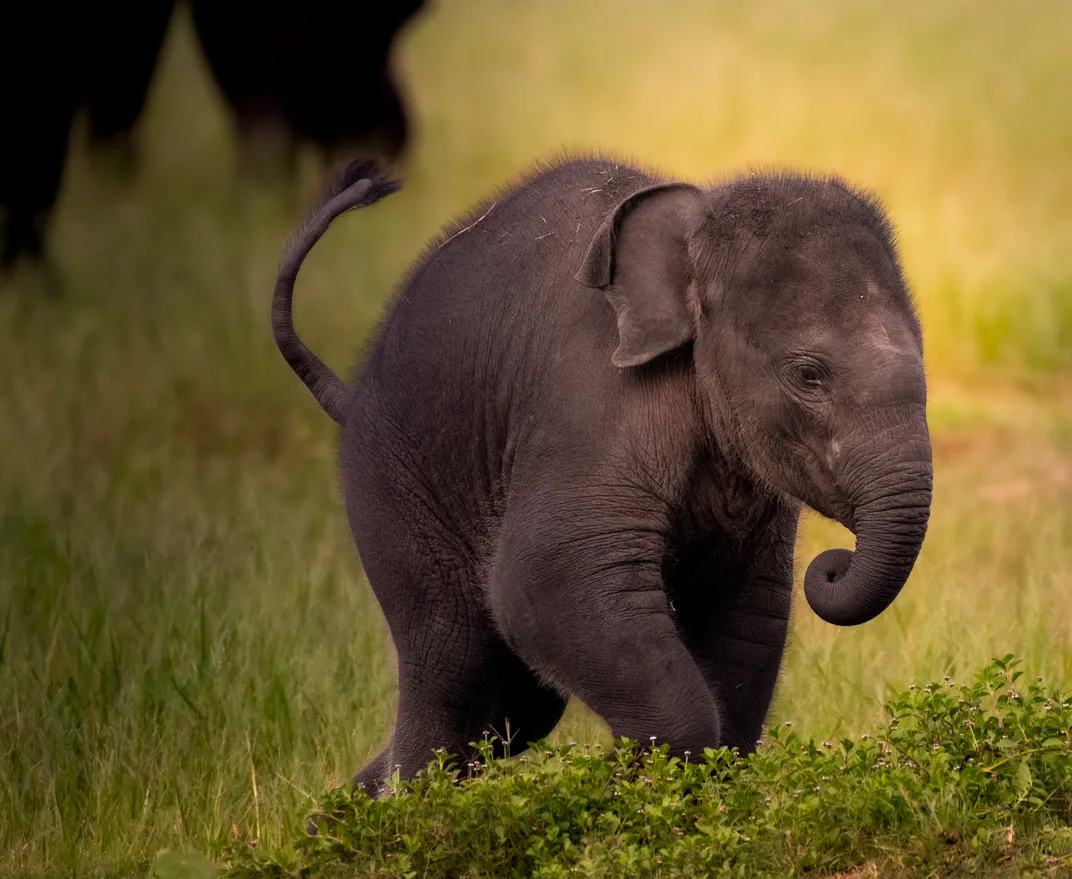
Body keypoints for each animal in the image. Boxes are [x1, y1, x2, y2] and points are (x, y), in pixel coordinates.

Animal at [273, 157, 933, 795]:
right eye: (808, 376)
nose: (831, 566)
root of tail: (353, 395)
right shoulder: (588, 402)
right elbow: (545, 579)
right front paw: (619, 784)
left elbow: (749, 613)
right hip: (394, 485)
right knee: (452, 663)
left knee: (517, 706)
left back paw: (332, 815)